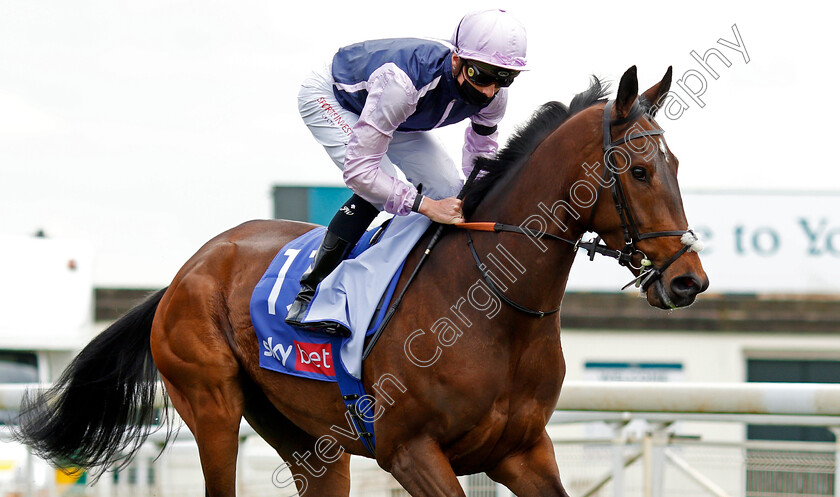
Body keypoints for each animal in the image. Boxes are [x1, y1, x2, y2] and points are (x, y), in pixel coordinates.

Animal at [14, 67, 708, 496]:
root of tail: (185, 273)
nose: (687, 281)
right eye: (639, 170)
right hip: (212, 404)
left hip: (307, 438)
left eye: (676, 164)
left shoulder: (524, 450)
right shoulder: (411, 451)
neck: (494, 306)